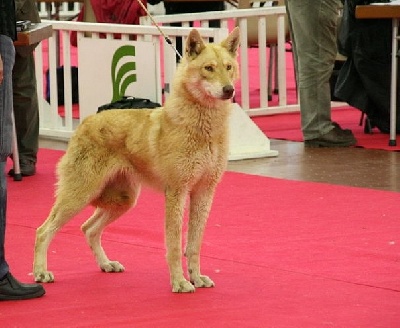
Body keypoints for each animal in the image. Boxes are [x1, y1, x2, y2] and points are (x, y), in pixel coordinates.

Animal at [32, 27, 239, 292]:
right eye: (209, 68)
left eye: (228, 67)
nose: (229, 90)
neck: (203, 129)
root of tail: (86, 121)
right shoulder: (177, 192)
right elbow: (174, 246)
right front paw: (180, 283)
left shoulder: (204, 192)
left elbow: (193, 246)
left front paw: (197, 278)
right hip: (80, 196)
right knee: (43, 231)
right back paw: (41, 273)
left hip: (123, 200)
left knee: (88, 229)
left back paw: (107, 265)